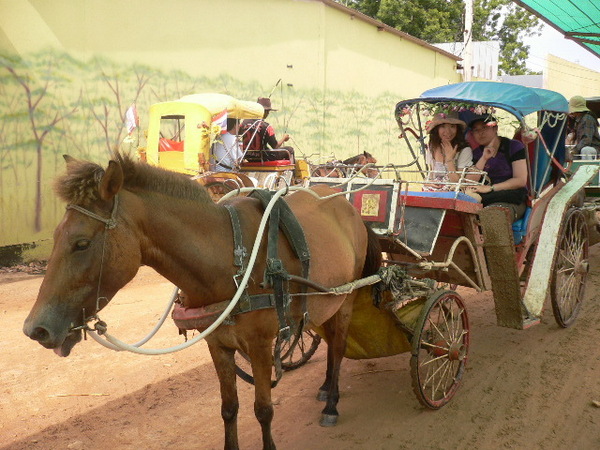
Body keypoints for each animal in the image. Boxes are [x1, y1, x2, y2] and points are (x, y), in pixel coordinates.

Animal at [23, 152, 380, 450]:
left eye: (82, 243)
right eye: (55, 237)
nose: (35, 329)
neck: (228, 257)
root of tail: (348, 208)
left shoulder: (260, 345)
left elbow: (263, 410)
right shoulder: (218, 344)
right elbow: (229, 409)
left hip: (346, 301)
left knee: (338, 347)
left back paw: (332, 403)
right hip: (325, 304)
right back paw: (325, 388)